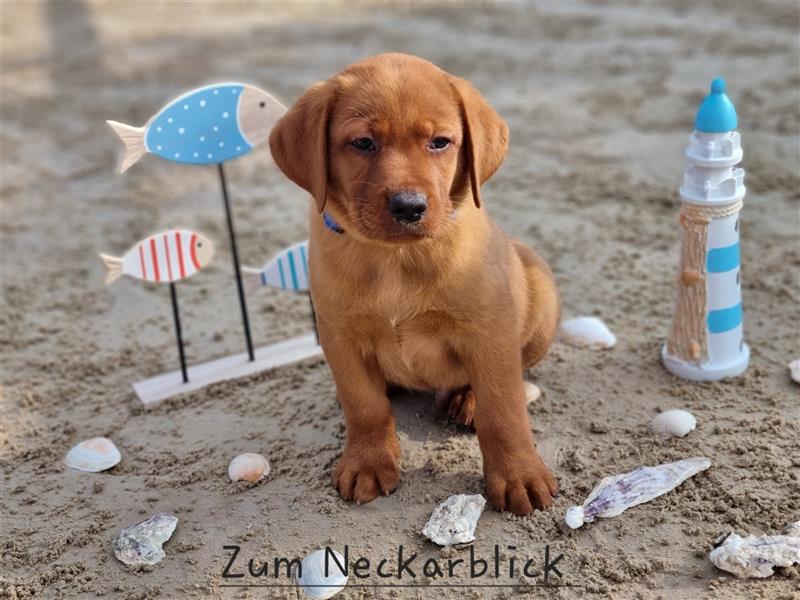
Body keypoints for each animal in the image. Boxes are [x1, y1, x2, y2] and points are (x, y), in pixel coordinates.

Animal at [268, 52, 556, 516]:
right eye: (363, 143)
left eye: (440, 142)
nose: (409, 207)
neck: (395, 258)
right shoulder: (339, 334)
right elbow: (364, 405)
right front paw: (367, 462)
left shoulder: (489, 330)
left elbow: (504, 410)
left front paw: (518, 474)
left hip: (541, 294)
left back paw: (465, 400)